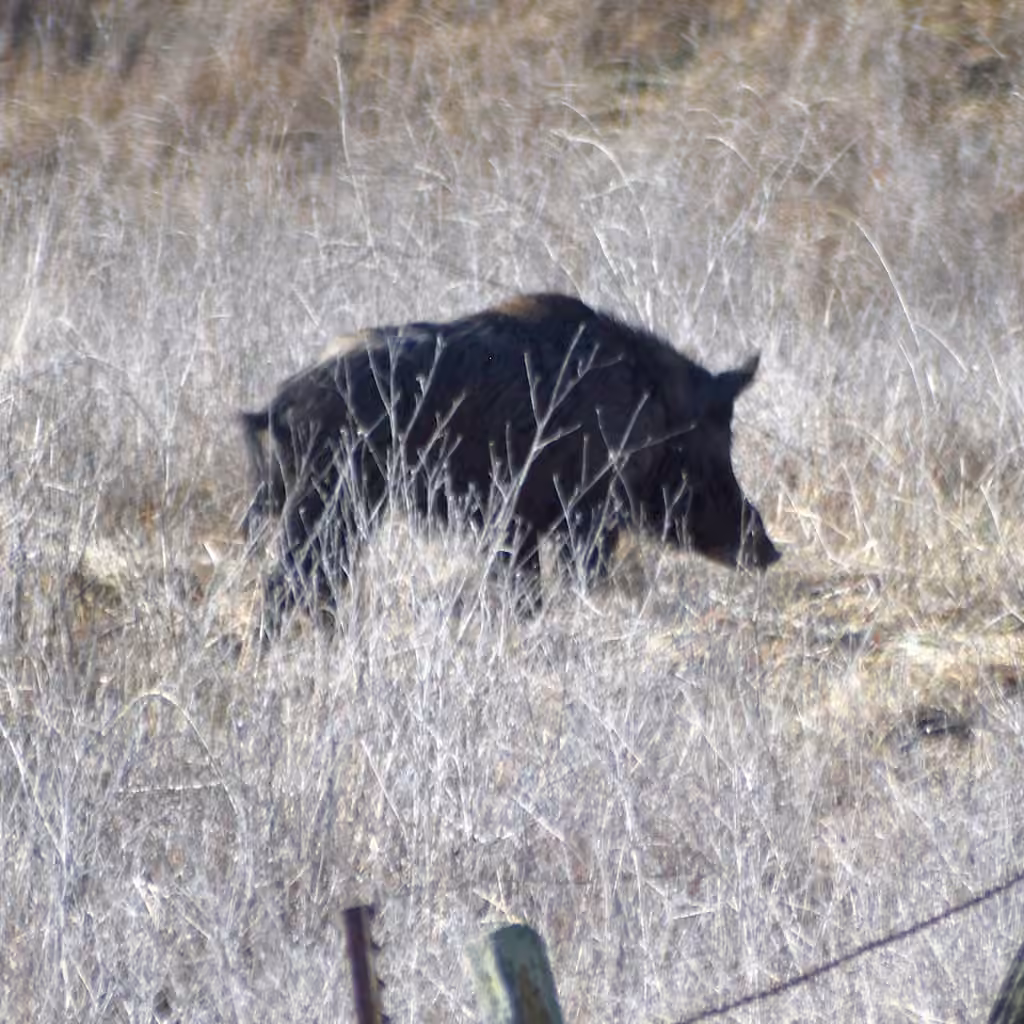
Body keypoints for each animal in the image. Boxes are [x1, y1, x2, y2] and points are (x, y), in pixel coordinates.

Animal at [241, 293, 779, 620]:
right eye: (717, 443)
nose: (772, 551)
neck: (647, 410)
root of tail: (278, 404)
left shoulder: (519, 525)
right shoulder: (579, 519)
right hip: (330, 500)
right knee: (291, 581)